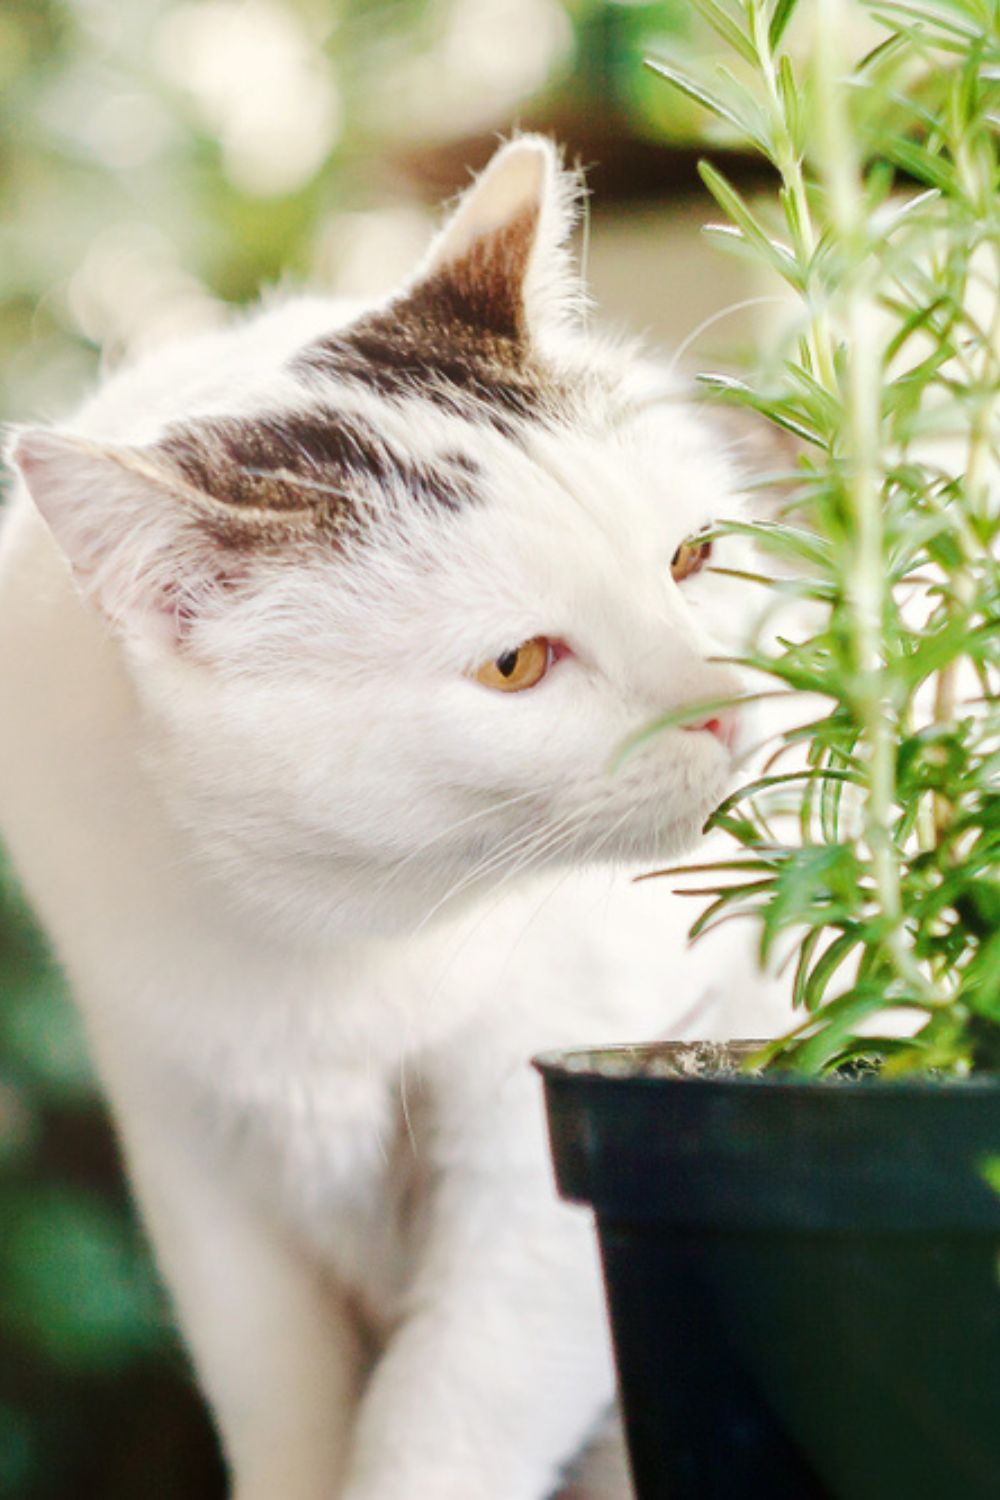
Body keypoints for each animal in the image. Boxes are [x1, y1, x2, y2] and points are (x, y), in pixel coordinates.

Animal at [0, 135, 791, 1494]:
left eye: (690, 559)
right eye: (516, 666)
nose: (729, 711)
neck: (336, 945)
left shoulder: (540, 1159)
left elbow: (441, 1435)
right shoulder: (193, 1154)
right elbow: (284, 1413)